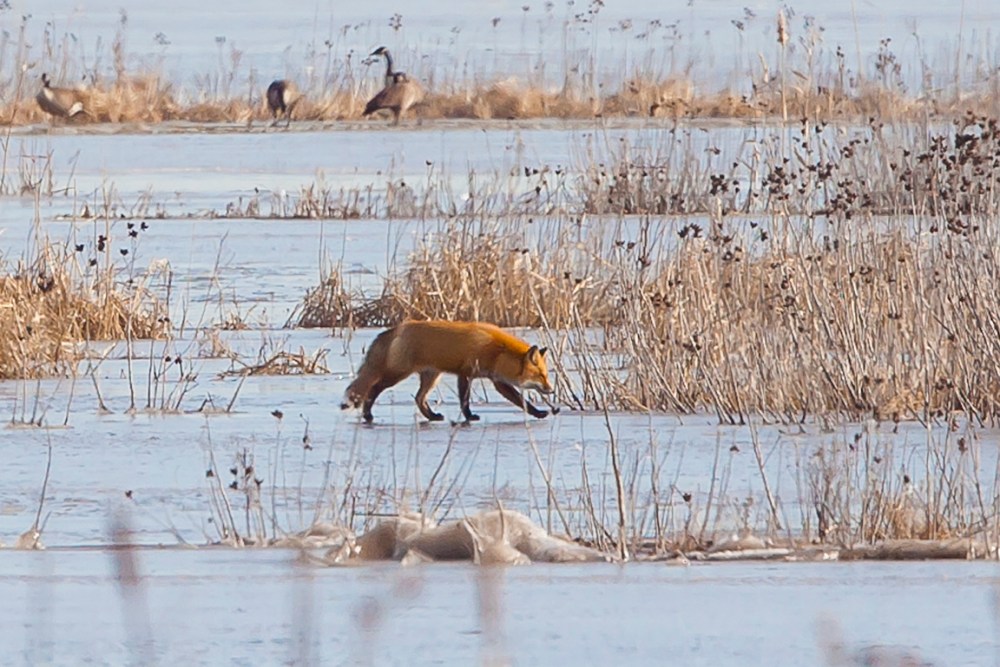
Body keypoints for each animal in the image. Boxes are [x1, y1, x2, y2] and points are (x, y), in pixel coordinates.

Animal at [340, 320, 555, 423]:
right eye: (541, 376)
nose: (551, 390)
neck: (496, 351)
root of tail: (397, 329)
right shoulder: (467, 373)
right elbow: (465, 400)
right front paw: (469, 416)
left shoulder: (495, 380)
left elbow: (519, 400)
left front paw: (538, 413)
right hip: (397, 374)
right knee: (373, 389)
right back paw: (368, 414)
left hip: (431, 377)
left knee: (419, 398)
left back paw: (432, 416)